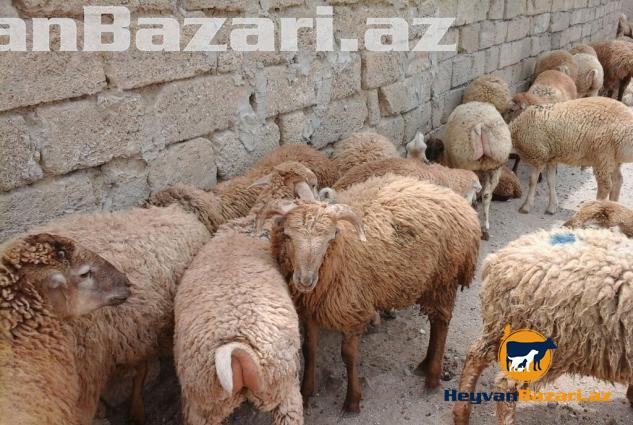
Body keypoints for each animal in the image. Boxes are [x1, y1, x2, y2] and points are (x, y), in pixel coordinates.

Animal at [258, 174, 481, 412]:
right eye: (288, 235)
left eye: (330, 238)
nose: (306, 280)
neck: (340, 251)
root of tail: (463, 206)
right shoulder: (310, 310)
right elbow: (309, 350)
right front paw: (306, 393)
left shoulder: (351, 308)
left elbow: (348, 356)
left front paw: (352, 400)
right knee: (434, 322)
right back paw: (425, 364)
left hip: (444, 279)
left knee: (441, 324)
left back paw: (432, 376)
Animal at [443, 102, 513, 239]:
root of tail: (481, 126)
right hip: (496, 166)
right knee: (487, 195)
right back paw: (485, 227)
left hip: (466, 162)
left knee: (471, 195)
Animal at [453, 227, 633, 425]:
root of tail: (499, 262)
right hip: (553, 341)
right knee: (506, 386)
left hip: (501, 323)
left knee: (475, 354)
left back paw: (461, 413)